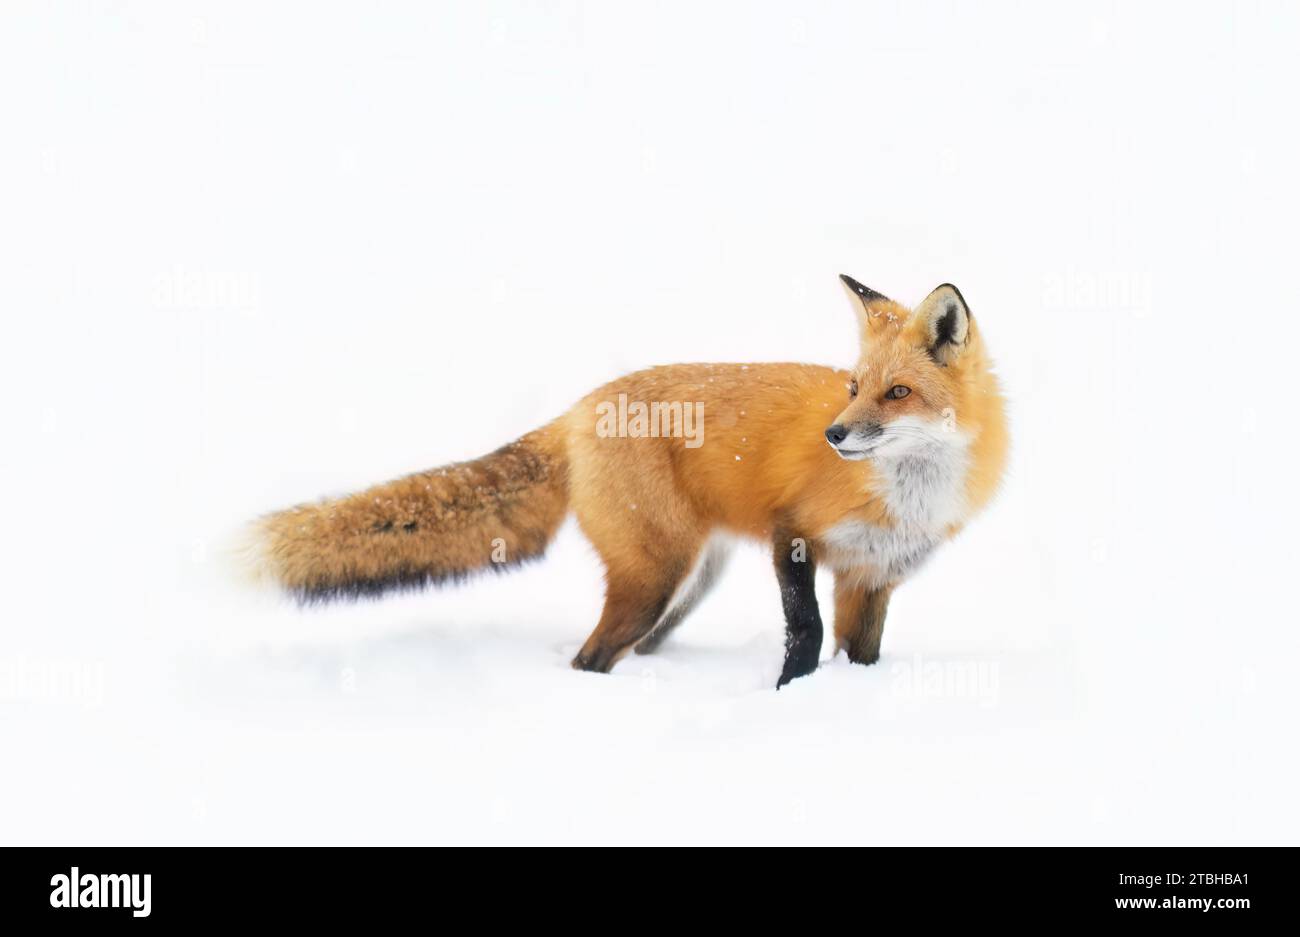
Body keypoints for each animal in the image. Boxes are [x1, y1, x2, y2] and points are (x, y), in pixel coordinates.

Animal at [250, 278, 1003, 686]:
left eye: (897, 392)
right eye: (852, 388)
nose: (834, 436)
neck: (909, 494)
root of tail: (580, 408)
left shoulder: (874, 576)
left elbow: (862, 652)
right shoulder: (791, 535)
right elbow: (807, 630)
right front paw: (790, 692)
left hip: (686, 585)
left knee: (626, 649)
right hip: (656, 574)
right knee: (589, 659)